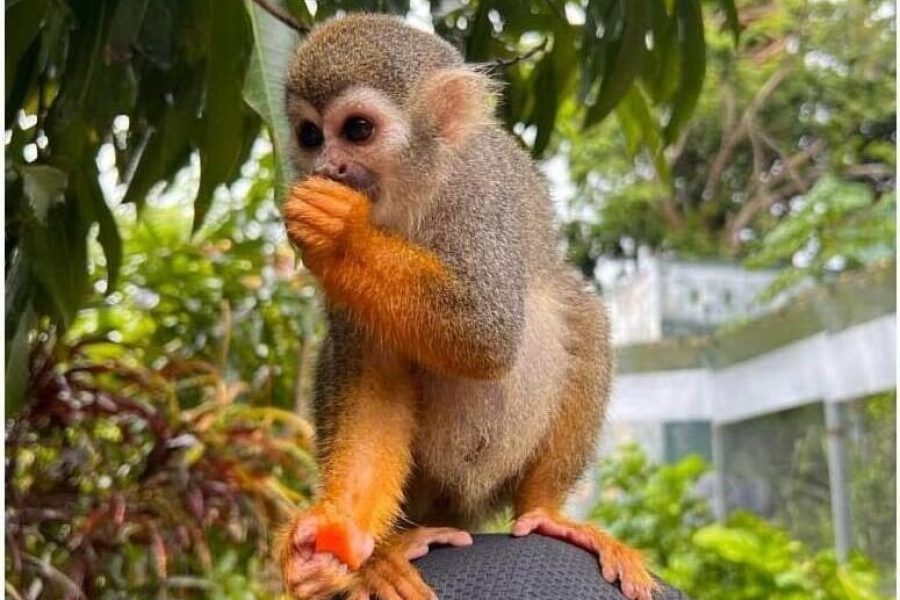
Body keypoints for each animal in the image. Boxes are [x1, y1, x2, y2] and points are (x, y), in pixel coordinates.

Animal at [277, 13, 658, 600]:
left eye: (357, 130)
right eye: (310, 136)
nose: (329, 167)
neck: (411, 195)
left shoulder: (479, 193)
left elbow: (484, 332)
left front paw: (340, 232)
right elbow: (374, 380)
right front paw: (340, 533)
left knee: (575, 312)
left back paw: (546, 510)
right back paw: (383, 554)